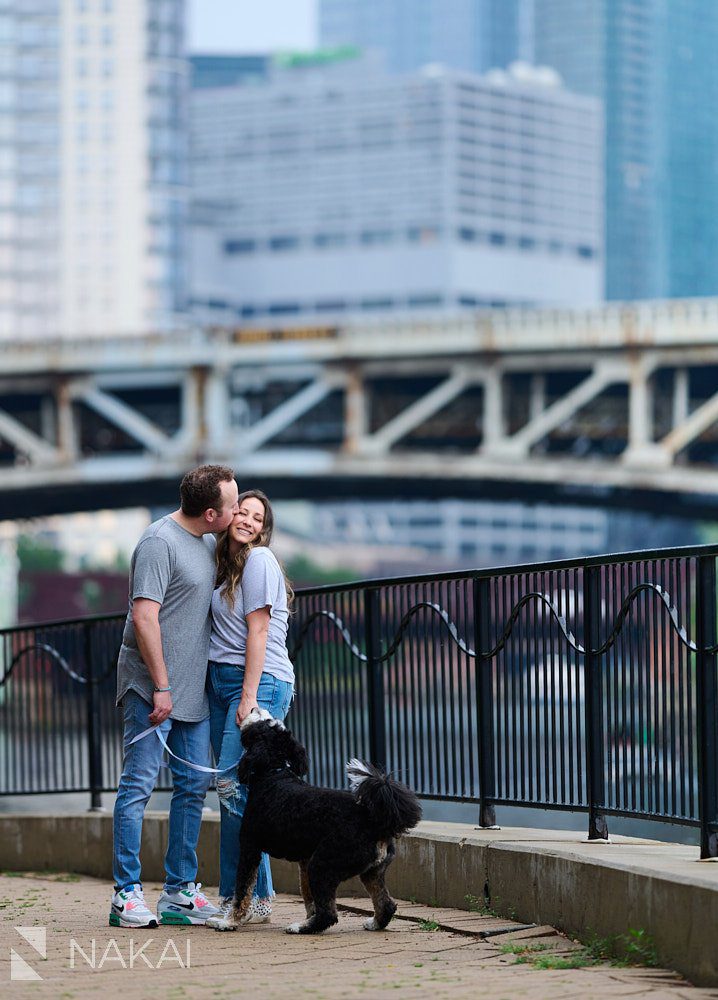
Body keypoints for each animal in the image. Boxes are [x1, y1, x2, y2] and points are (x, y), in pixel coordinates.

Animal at [214, 708, 424, 932]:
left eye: (263, 723)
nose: (254, 708)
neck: (273, 774)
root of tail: (374, 820)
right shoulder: (304, 859)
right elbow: (307, 894)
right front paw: (309, 913)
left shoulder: (250, 849)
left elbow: (242, 890)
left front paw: (229, 921)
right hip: (371, 871)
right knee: (386, 904)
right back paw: (372, 923)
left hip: (323, 864)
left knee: (329, 914)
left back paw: (300, 928)